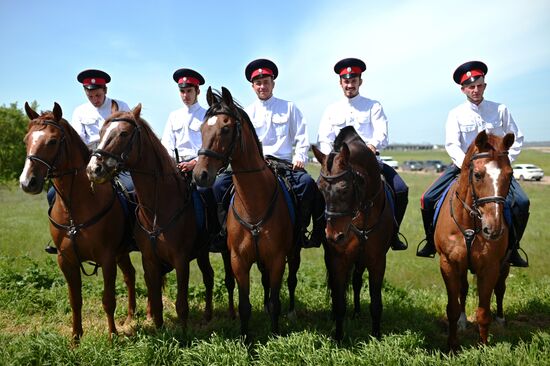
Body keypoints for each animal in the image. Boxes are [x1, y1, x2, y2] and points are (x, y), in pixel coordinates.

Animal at [19, 102, 137, 340]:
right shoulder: (66, 261)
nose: (28, 182)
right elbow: (75, 301)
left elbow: (108, 300)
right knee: (130, 276)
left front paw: (112, 336)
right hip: (121, 253)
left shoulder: (107, 258)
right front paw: (75, 338)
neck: (75, 208)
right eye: (26, 140)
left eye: (52, 141)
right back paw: (130, 317)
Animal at [87, 103, 234, 328]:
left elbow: (182, 305)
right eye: (102, 132)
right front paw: (159, 330)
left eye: (123, 133)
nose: (94, 169)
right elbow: (156, 304)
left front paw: (183, 335)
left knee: (229, 280)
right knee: (209, 276)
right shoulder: (150, 260)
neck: (158, 209)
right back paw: (208, 315)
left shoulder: (181, 260)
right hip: (202, 251)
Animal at [194, 87, 298, 338]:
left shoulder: (277, 258)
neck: (254, 204)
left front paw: (274, 334)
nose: (200, 175)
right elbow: (244, 305)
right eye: (202, 129)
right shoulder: (238, 260)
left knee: (291, 281)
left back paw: (291, 311)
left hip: (293, 253)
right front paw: (245, 339)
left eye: (225, 128)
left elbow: (276, 300)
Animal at [312, 126, 394, 340]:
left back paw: (357, 311)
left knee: (357, 281)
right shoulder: (338, 259)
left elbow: (376, 303)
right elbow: (339, 300)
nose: (334, 236)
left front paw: (376, 335)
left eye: (344, 188)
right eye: (320, 188)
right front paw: (338, 337)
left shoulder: (377, 260)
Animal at [436, 132, 516, 352]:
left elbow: (483, 312)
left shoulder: (490, 267)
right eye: (478, 175)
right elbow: (452, 308)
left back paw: (501, 319)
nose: (493, 228)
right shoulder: (448, 264)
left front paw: (483, 347)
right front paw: (452, 346)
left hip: (505, 264)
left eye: (510, 175)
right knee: (463, 290)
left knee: (501, 288)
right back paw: (463, 321)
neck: (470, 223)